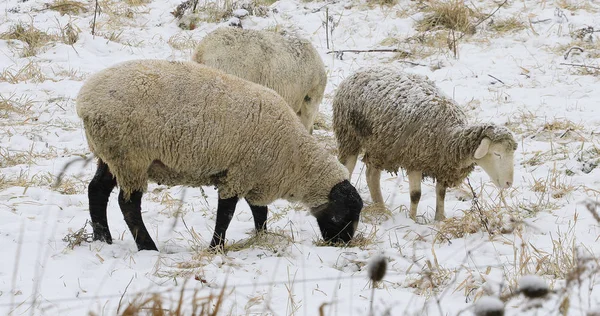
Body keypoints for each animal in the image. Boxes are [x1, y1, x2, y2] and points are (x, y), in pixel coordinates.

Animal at [77, 59, 364, 252]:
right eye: (343, 215)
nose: (343, 243)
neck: (295, 158)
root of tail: (85, 101)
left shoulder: (253, 177)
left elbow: (260, 212)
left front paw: (261, 236)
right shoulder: (238, 174)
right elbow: (226, 215)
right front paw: (216, 247)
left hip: (111, 155)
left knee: (97, 191)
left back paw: (103, 238)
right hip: (131, 156)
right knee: (128, 205)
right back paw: (147, 247)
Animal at [332, 65, 516, 221]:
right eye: (497, 153)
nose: (509, 183)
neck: (449, 136)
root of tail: (359, 71)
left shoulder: (442, 165)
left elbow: (441, 193)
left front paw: (440, 219)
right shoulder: (415, 160)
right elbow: (416, 195)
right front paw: (412, 220)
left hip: (380, 145)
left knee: (372, 175)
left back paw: (381, 209)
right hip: (349, 137)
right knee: (347, 170)